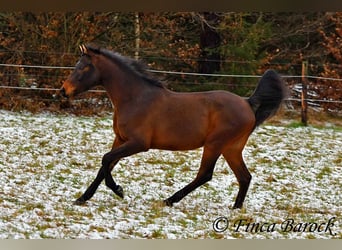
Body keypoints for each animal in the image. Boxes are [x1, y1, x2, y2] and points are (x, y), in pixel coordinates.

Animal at [60, 45, 286, 209]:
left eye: (83, 67)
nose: (64, 91)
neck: (135, 98)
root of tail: (248, 103)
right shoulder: (121, 139)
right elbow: (105, 165)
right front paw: (82, 198)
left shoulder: (139, 143)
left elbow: (106, 159)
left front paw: (118, 190)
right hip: (232, 148)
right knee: (244, 177)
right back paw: (235, 209)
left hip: (215, 144)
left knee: (205, 174)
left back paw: (169, 200)